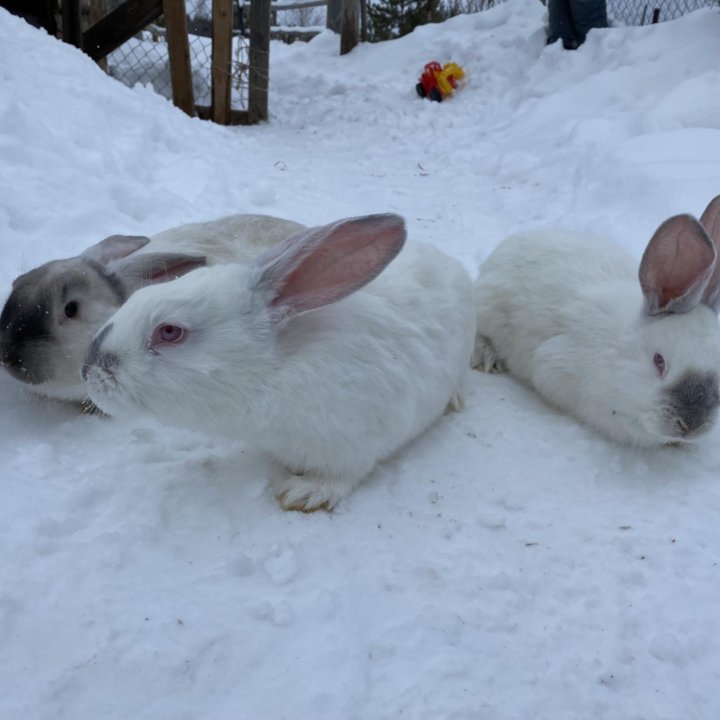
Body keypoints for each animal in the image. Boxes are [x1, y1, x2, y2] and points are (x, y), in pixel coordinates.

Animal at [81, 214, 476, 512]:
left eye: (169, 332)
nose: (87, 371)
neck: (272, 372)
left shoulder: (355, 445)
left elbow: (340, 477)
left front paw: (302, 493)